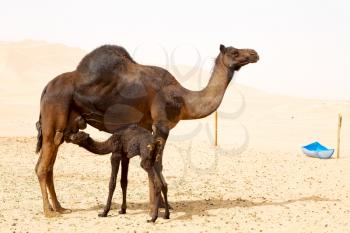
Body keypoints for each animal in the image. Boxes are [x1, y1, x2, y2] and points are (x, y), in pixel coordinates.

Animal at [35, 43, 258, 217]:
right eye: (235, 52)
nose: (254, 53)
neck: (184, 100)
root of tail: (45, 88)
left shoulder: (147, 128)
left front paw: (158, 207)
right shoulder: (161, 125)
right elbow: (157, 164)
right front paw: (155, 209)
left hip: (64, 128)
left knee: (49, 166)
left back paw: (60, 208)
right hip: (54, 119)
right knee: (42, 167)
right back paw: (48, 212)